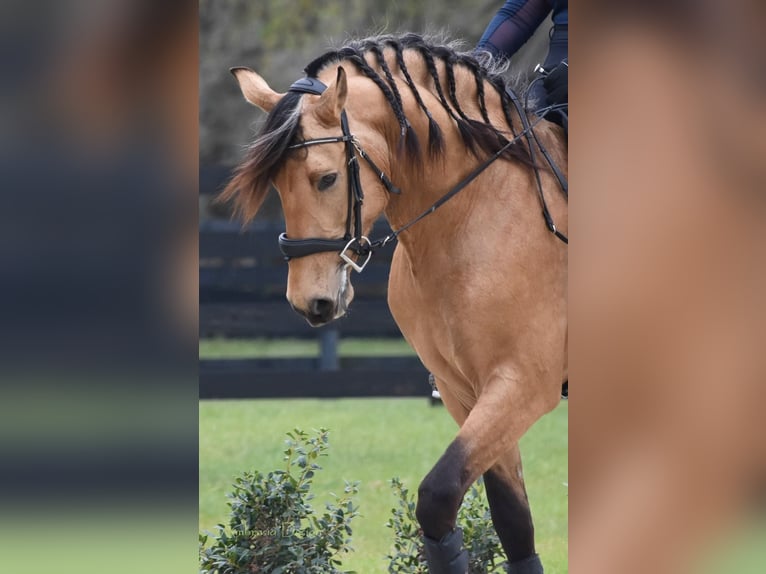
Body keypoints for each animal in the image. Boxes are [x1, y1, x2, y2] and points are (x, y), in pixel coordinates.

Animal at [219, 33, 568, 572]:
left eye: (326, 178)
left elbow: (438, 495)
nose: (310, 302)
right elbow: (508, 519)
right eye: (277, 184)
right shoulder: (464, 392)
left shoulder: (524, 383)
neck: (472, 221)